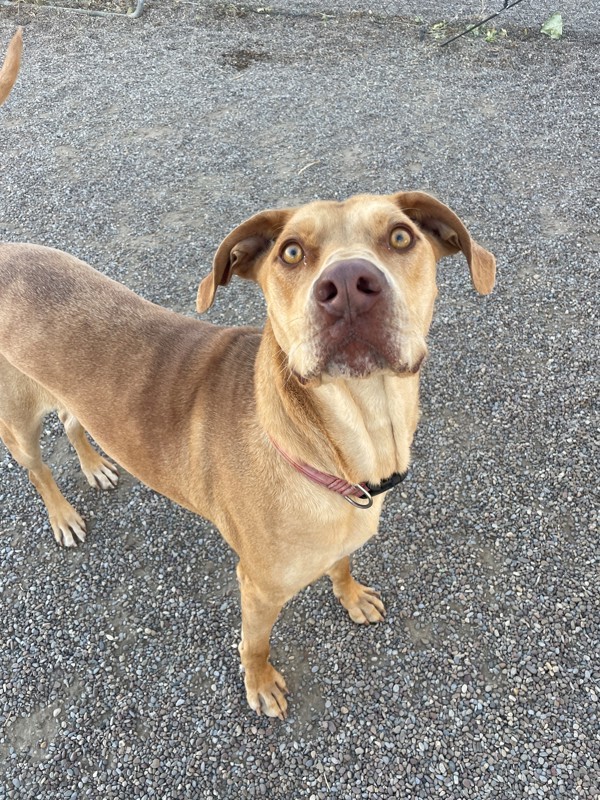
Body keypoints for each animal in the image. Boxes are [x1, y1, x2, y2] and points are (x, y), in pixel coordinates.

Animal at [0, 29, 494, 720]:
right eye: (291, 251)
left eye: (400, 237)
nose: (347, 286)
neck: (347, 442)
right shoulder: (257, 587)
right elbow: (255, 644)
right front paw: (260, 685)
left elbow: (342, 565)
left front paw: (351, 594)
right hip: (15, 420)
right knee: (37, 468)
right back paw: (63, 514)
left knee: (74, 419)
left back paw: (96, 464)